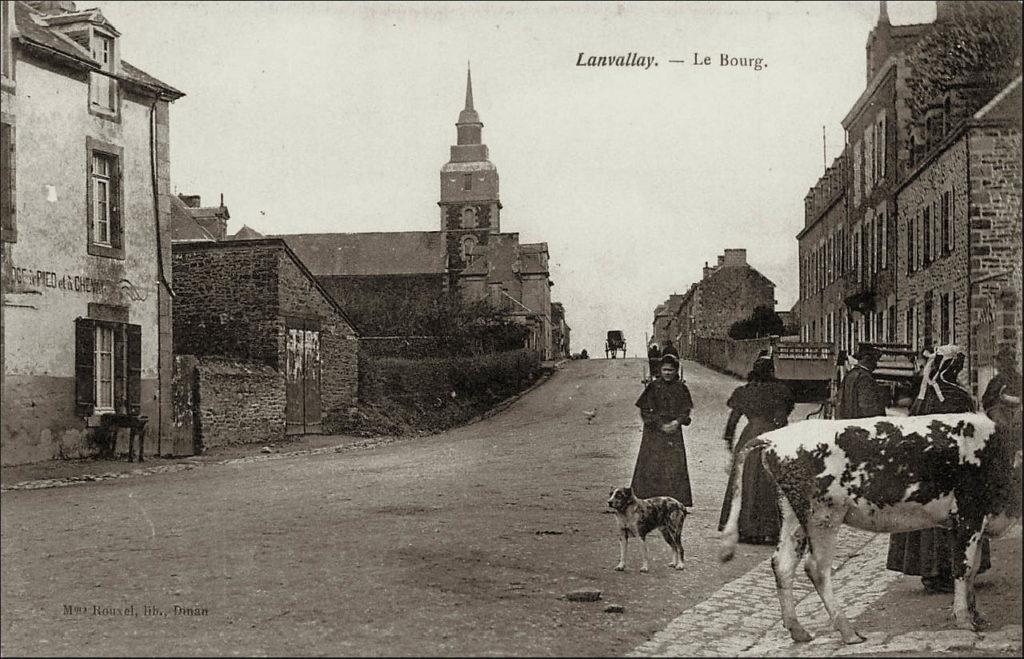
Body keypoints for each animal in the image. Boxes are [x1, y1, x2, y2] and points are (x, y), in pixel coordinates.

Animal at [716, 403, 1019, 646]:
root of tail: (774, 438)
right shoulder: (970, 513)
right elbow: (964, 568)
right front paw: (964, 620)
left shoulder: (975, 523)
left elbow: (974, 568)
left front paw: (976, 615)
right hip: (823, 515)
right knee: (816, 568)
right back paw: (848, 632)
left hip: (794, 516)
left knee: (782, 564)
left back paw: (798, 630)